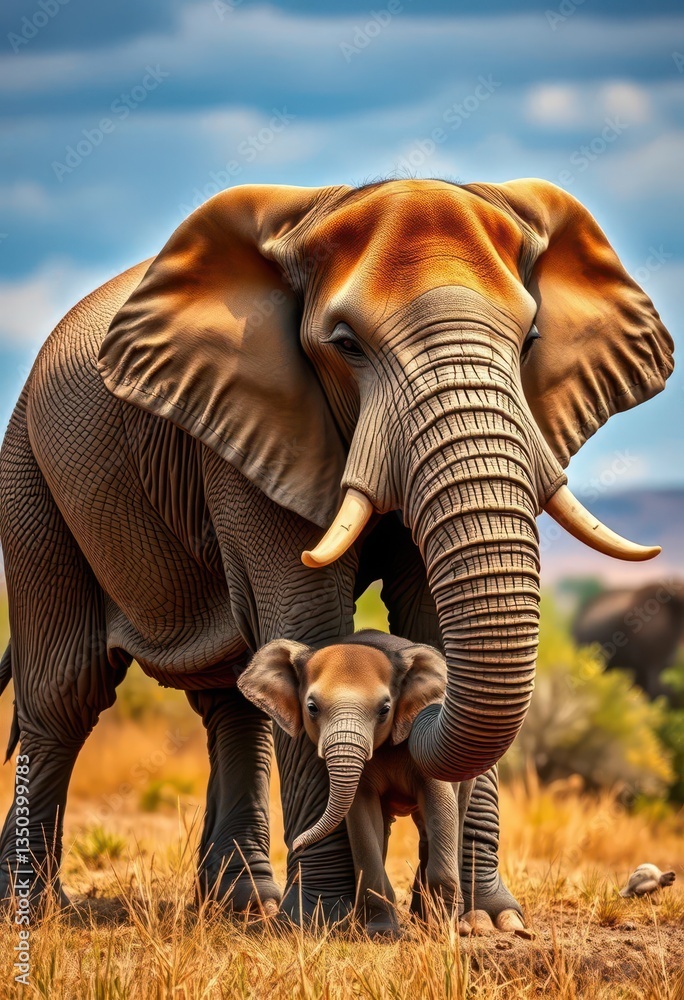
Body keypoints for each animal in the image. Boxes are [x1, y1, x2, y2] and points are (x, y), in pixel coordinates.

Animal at [238, 629, 479, 938]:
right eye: (312, 708)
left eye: (385, 709)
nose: (297, 844)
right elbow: (362, 818)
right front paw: (382, 933)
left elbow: (440, 803)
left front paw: (443, 932)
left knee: (449, 818)